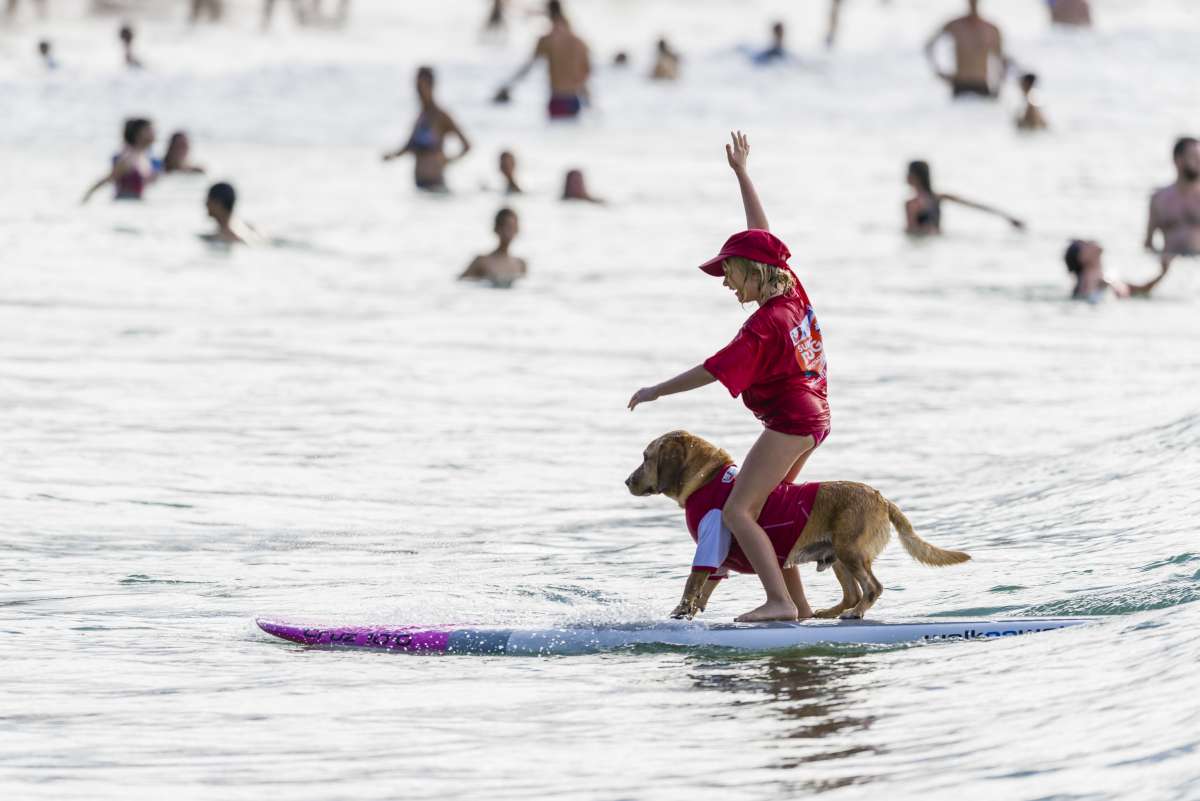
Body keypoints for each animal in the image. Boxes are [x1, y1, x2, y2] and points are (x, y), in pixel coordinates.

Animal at [624, 431, 969, 618]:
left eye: (645, 457)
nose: (626, 481)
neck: (707, 478)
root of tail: (882, 499)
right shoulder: (718, 556)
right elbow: (706, 586)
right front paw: (693, 611)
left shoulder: (709, 544)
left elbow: (693, 581)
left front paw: (680, 612)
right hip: (837, 557)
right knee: (852, 593)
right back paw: (831, 612)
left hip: (850, 552)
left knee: (871, 588)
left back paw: (855, 613)